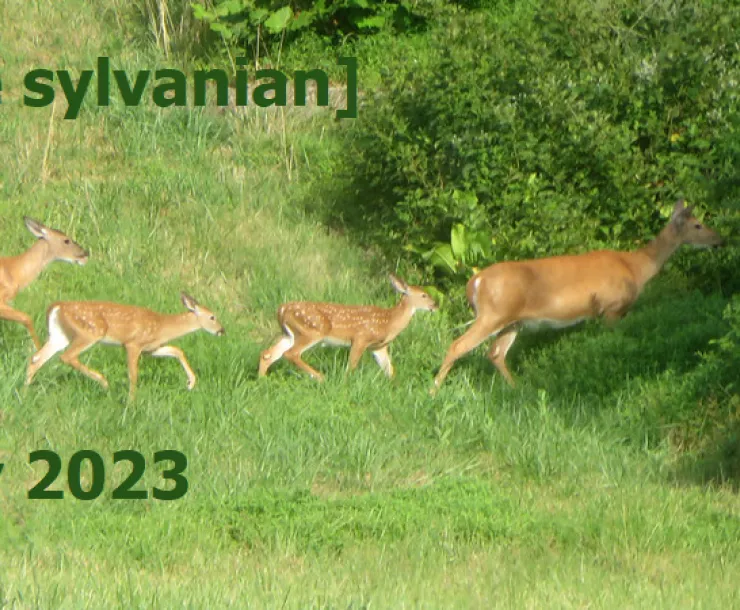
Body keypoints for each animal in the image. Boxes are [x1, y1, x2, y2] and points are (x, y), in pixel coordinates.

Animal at [25, 293, 225, 400]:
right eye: (212, 317)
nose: (222, 330)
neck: (162, 326)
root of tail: (57, 306)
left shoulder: (151, 348)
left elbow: (177, 350)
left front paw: (191, 382)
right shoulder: (132, 343)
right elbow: (133, 374)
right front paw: (131, 402)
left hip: (61, 335)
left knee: (37, 357)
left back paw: (25, 390)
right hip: (90, 332)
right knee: (66, 356)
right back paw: (104, 382)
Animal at [259, 274, 438, 381]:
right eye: (424, 295)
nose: (435, 305)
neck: (389, 322)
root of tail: (282, 309)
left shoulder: (378, 347)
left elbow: (389, 370)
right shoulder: (361, 337)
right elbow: (351, 366)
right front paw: (345, 383)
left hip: (289, 334)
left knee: (268, 354)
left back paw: (261, 380)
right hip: (313, 331)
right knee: (291, 354)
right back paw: (320, 377)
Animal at [432, 199, 724, 391]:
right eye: (698, 225)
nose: (720, 240)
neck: (635, 267)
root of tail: (475, 281)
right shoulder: (612, 308)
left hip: (511, 320)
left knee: (495, 353)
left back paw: (518, 389)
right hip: (492, 314)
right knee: (458, 345)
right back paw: (434, 390)